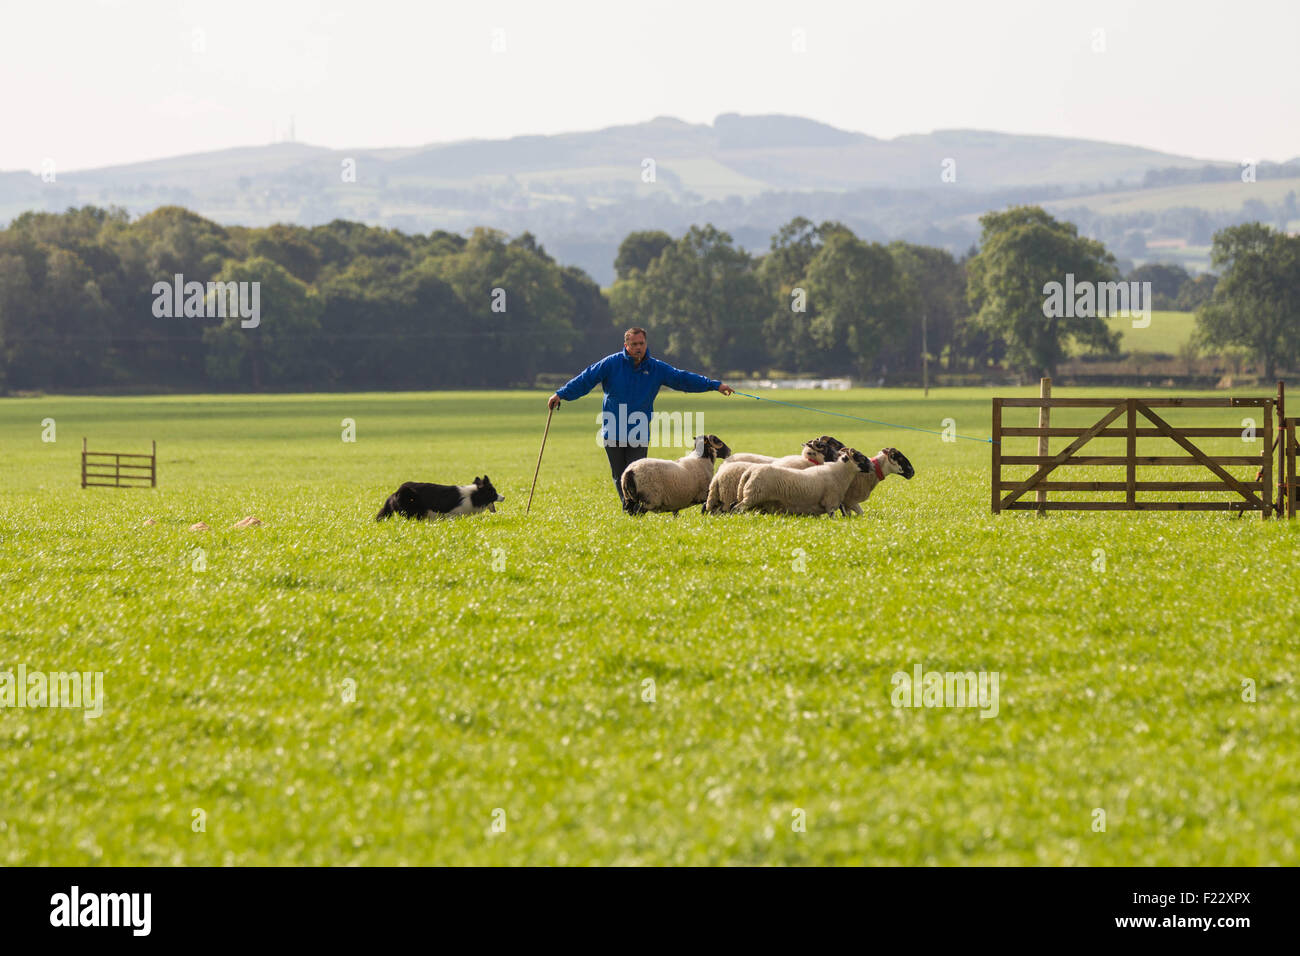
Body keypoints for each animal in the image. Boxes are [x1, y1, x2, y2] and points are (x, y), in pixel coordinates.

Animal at [735, 447, 876, 516]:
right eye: (861, 457)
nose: (873, 467)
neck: (839, 473)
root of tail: (749, 471)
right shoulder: (830, 502)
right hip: (753, 495)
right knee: (736, 508)